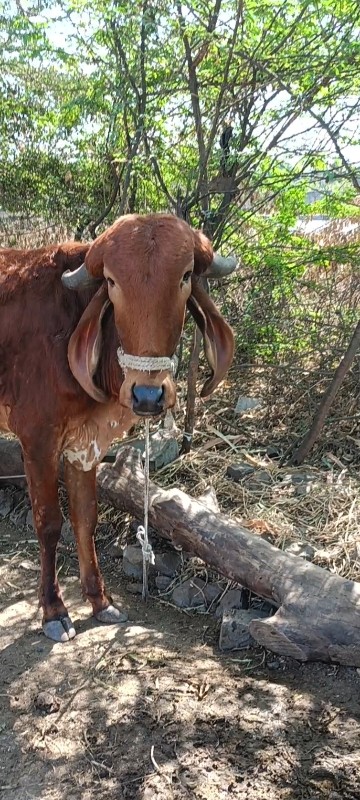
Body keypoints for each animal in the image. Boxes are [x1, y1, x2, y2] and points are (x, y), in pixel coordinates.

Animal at [0, 209, 236, 640]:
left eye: (184, 276)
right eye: (111, 281)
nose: (148, 395)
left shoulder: (85, 444)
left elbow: (85, 518)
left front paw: (100, 601)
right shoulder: (37, 440)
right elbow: (49, 523)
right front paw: (54, 610)